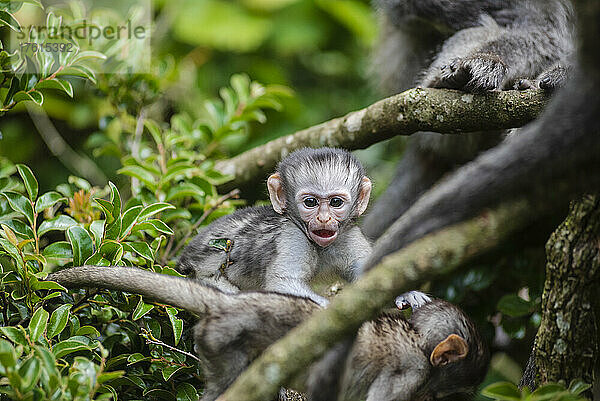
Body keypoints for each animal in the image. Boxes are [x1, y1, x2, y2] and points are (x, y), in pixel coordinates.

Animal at [178, 148, 372, 306]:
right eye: (310, 202)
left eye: (336, 202)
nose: (323, 219)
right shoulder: (291, 235)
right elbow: (283, 284)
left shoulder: (349, 235)